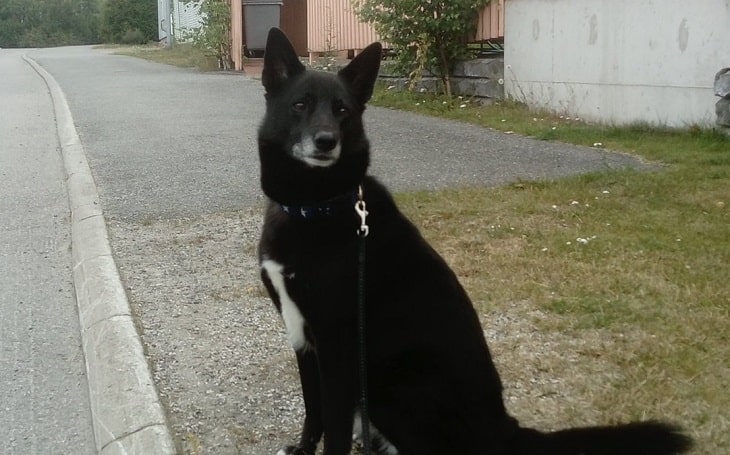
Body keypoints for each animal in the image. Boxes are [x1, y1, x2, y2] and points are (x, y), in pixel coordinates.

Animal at [255, 27, 688, 455]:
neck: (316, 205)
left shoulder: (337, 349)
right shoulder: (303, 340)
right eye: (300, 105)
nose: (326, 141)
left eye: (342, 109)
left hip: (391, 382)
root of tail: (505, 430)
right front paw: (302, 449)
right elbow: (314, 410)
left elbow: (335, 428)